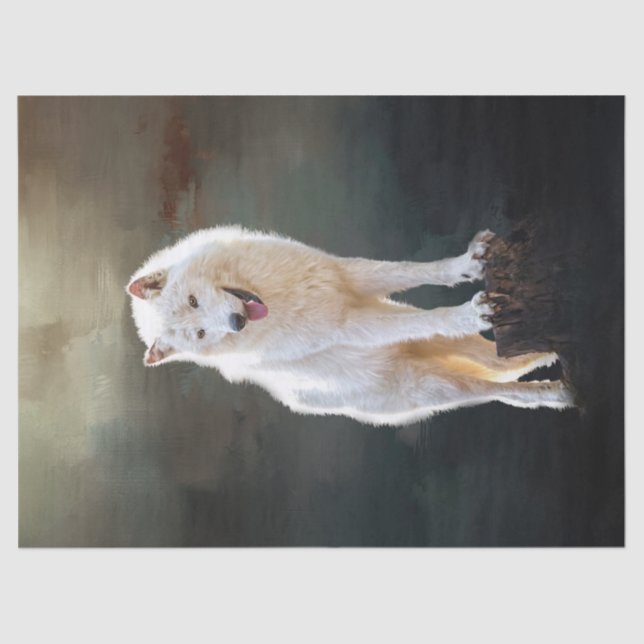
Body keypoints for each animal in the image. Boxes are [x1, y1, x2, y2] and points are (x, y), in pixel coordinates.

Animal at [126, 226, 574, 426]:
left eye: (193, 301)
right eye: (200, 334)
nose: (236, 322)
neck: (279, 296)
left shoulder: (346, 274)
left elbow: (416, 270)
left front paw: (469, 263)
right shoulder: (347, 324)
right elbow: (425, 317)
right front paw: (468, 311)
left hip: (466, 355)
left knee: (510, 364)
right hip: (435, 386)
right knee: (505, 393)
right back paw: (559, 392)